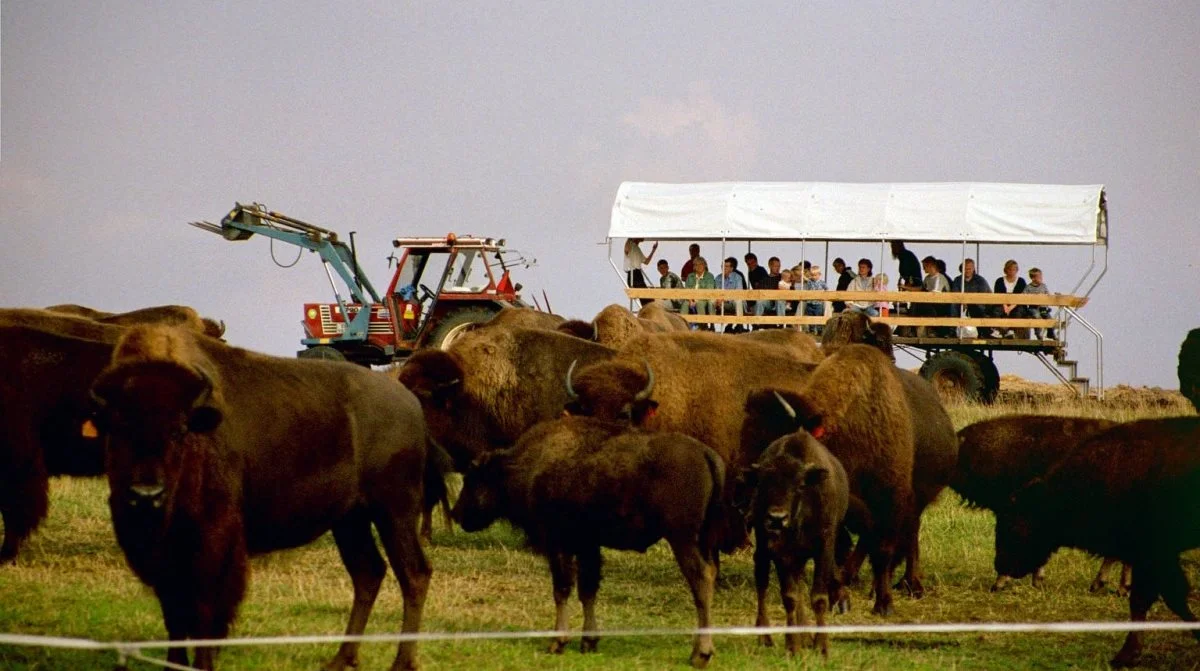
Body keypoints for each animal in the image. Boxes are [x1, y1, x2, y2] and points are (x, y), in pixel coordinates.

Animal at [91, 324, 434, 667]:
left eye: (178, 431)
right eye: (117, 430)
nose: (146, 494)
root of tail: (410, 402)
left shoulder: (212, 546)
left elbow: (204, 615)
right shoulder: (166, 559)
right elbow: (174, 616)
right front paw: (174, 664)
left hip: (395, 511)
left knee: (414, 574)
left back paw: (401, 662)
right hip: (351, 519)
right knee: (368, 573)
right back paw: (340, 659)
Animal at [451, 417, 720, 667]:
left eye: (473, 479)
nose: (456, 513)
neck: (527, 465)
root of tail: (704, 453)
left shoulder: (559, 544)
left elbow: (562, 590)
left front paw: (557, 642)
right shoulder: (588, 546)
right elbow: (587, 591)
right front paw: (589, 641)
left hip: (682, 540)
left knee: (700, 580)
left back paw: (701, 654)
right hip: (701, 542)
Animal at [744, 415, 849, 657]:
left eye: (800, 485)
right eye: (763, 484)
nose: (776, 518)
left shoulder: (823, 549)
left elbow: (817, 597)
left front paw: (821, 646)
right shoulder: (781, 554)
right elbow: (790, 597)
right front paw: (793, 646)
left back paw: (806, 636)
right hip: (762, 550)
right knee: (762, 583)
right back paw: (765, 636)